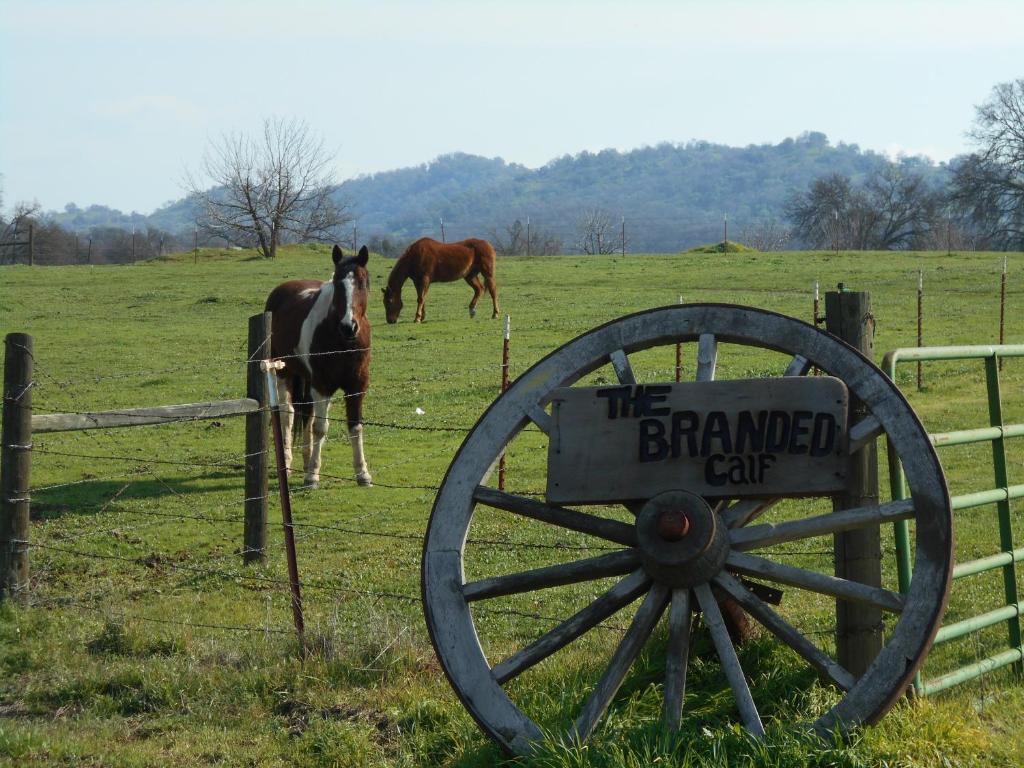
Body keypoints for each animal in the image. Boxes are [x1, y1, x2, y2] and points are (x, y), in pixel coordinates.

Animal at [266, 243, 374, 489]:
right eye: (337, 283)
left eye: (362, 283)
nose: (349, 326)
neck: (342, 342)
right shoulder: (322, 385)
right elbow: (320, 428)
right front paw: (312, 476)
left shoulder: (357, 387)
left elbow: (355, 426)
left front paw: (362, 473)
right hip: (284, 372)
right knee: (288, 414)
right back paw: (288, 462)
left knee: (306, 412)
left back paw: (306, 460)